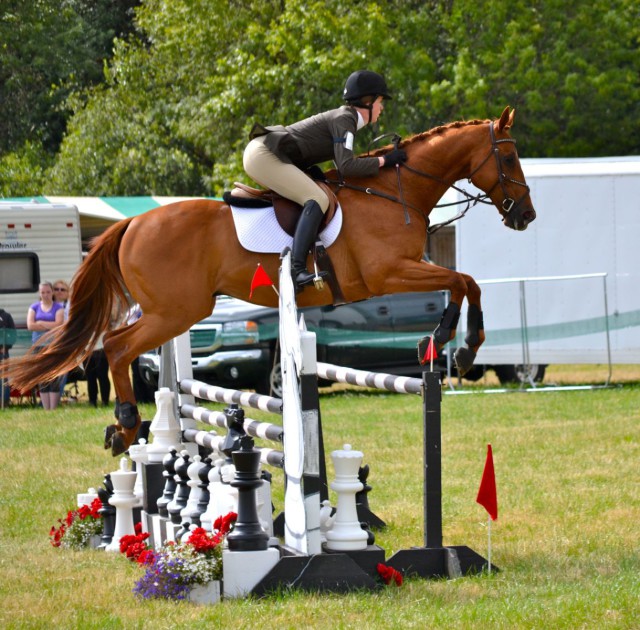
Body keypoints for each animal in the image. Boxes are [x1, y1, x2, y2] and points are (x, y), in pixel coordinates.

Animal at [5, 106, 536, 456]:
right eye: (510, 159)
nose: (525, 216)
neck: (393, 191)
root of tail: (133, 222)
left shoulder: (400, 273)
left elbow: (464, 281)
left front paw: (454, 345)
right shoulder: (389, 273)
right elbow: (464, 280)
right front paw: (457, 345)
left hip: (174, 311)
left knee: (124, 350)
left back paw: (124, 431)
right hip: (178, 310)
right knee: (117, 347)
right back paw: (127, 424)